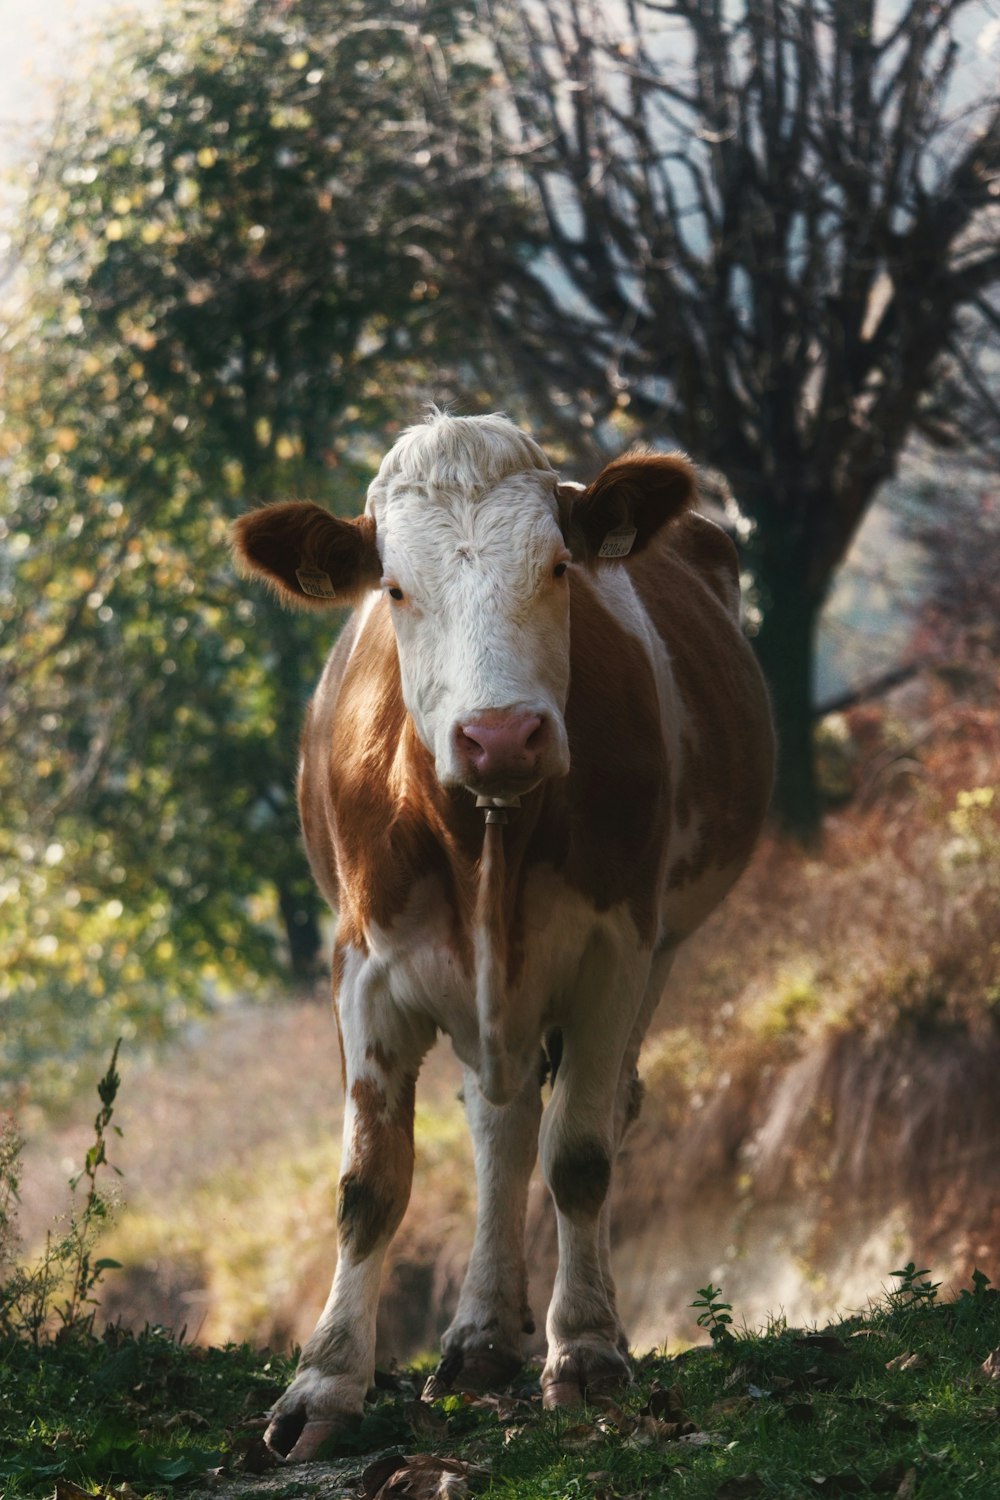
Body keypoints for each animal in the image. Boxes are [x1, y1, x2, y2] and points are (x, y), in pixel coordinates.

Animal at [232, 408, 773, 1452]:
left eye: (559, 567)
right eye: (396, 588)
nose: (501, 737)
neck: (486, 834)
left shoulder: (615, 950)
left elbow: (581, 1157)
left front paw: (588, 1352)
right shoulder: (363, 968)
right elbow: (370, 1184)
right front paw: (322, 1384)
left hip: (658, 950)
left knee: (586, 1113)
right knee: (501, 1122)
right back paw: (481, 1334)